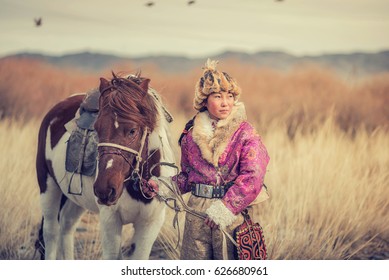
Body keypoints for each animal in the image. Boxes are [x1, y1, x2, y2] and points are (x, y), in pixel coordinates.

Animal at [35, 72, 175, 260]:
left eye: (132, 130)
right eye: (97, 128)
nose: (104, 190)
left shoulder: (150, 224)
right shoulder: (110, 220)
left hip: (77, 200)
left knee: (66, 225)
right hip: (48, 187)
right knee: (51, 232)